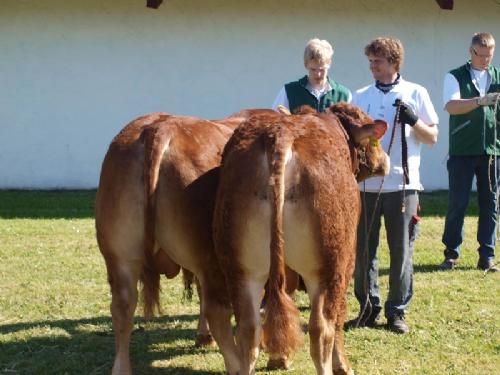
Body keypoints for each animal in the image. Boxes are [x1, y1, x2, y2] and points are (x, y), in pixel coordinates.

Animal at [213, 103, 388, 375]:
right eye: (375, 142)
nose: (385, 162)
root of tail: (280, 136)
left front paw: (279, 359)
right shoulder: (348, 262)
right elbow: (338, 319)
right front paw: (343, 366)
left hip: (241, 269)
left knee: (249, 330)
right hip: (329, 267)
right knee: (321, 328)